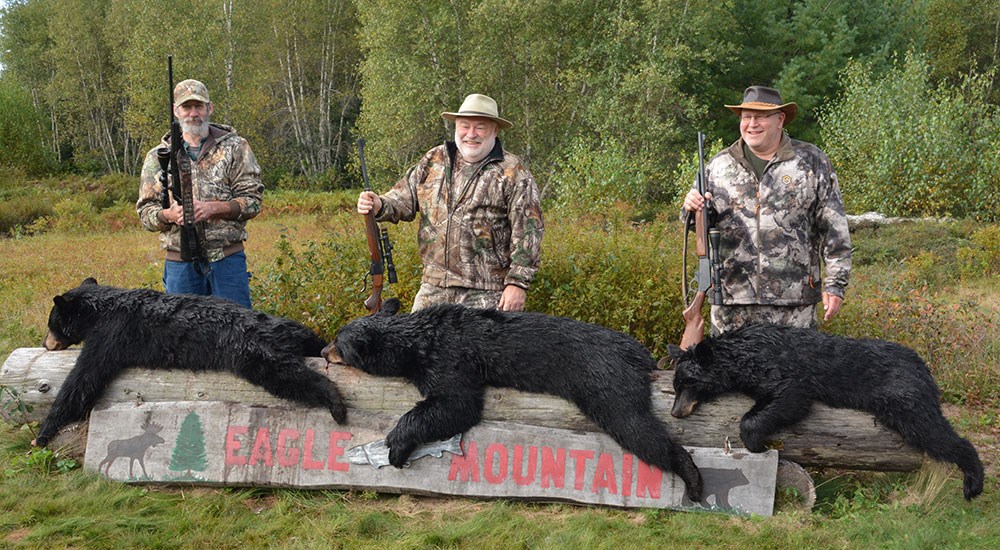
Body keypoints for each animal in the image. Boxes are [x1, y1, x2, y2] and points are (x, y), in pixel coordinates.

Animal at [36, 280, 348, 448]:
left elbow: (82, 380)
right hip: (298, 332)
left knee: (290, 377)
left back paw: (337, 405)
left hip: (256, 354)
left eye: (51, 323)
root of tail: (281, 330)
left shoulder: (110, 335)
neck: (103, 308)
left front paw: (42, 433)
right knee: (313, 344)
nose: (45, 343)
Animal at [322, 300, 704, 502]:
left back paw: (693, 479)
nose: (324, 351)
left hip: (606, 382)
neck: (417, 339)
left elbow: (456, 404)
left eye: (338, 342)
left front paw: (396, 445)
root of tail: (639, 354)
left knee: (635, 426)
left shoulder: (448, 358)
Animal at [664, 326, 984, 502]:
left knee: (936, 433)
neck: (742, 352)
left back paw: (973, 483)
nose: (675, 412)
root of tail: (923, 366)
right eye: (676, 385)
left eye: (687, 384)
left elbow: (790, 397)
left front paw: (757, 443)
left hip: (905, 398)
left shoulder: (780, 370)